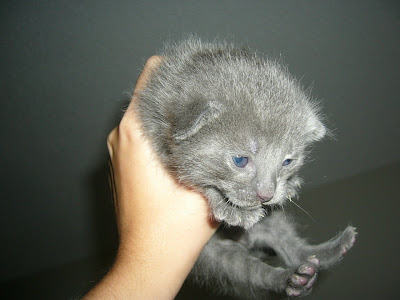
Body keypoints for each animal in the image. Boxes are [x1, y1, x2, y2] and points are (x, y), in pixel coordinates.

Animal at [135, 38, 356, 298]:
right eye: (240, 160)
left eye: (287, 162)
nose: (267, 196)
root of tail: (250, 240)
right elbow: (194, 179)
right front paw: (231, 209)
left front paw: (290, 184)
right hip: (215, 257)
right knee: (254, 273)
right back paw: (290, 280)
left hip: (272, 220)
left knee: (292, 248)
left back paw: (329, 253)